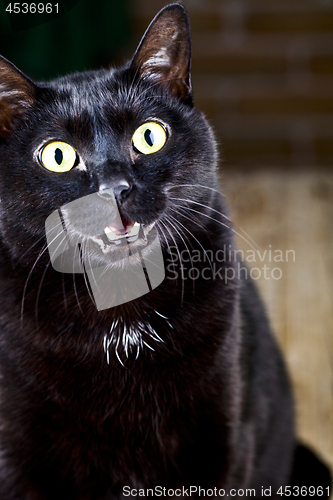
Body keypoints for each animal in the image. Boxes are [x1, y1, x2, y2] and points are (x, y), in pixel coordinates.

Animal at [0, 3, 296, 500]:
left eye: (149, 136)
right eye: (58, 156)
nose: (115, 187)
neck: (122, 317)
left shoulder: (223, 441)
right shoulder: (18, 457)